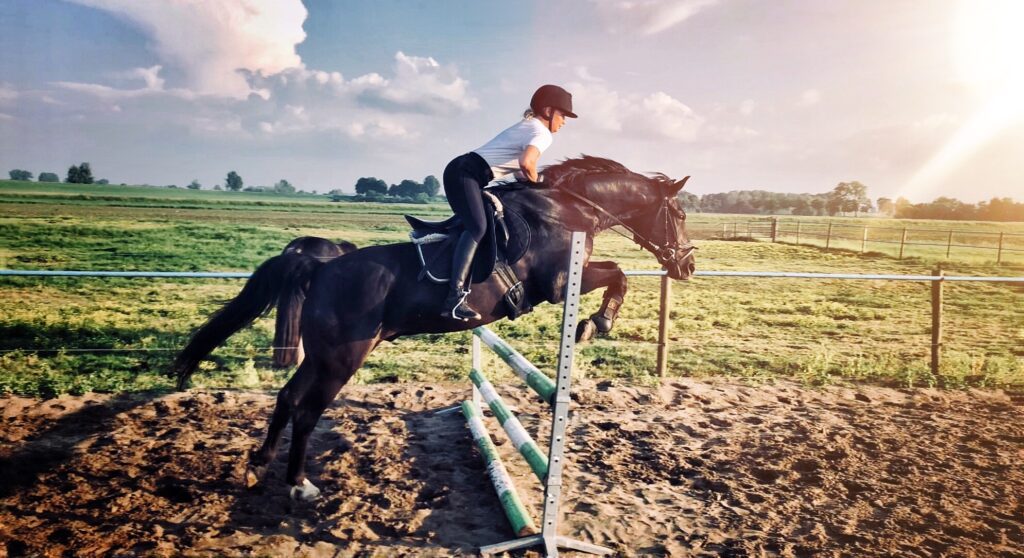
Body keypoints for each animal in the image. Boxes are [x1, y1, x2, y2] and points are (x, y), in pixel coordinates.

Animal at [173, 155, 696, 501]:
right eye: (680, 213)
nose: (687, 266)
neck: (569, 208)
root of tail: (320, 266)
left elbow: (617, 275)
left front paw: (594, 323)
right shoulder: (559, 282)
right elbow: (618, 275)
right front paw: (595, 323)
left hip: (323, 355)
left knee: (287, 398)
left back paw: (258, 467)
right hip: (342, 358)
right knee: (307, 410)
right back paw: (300, 485)